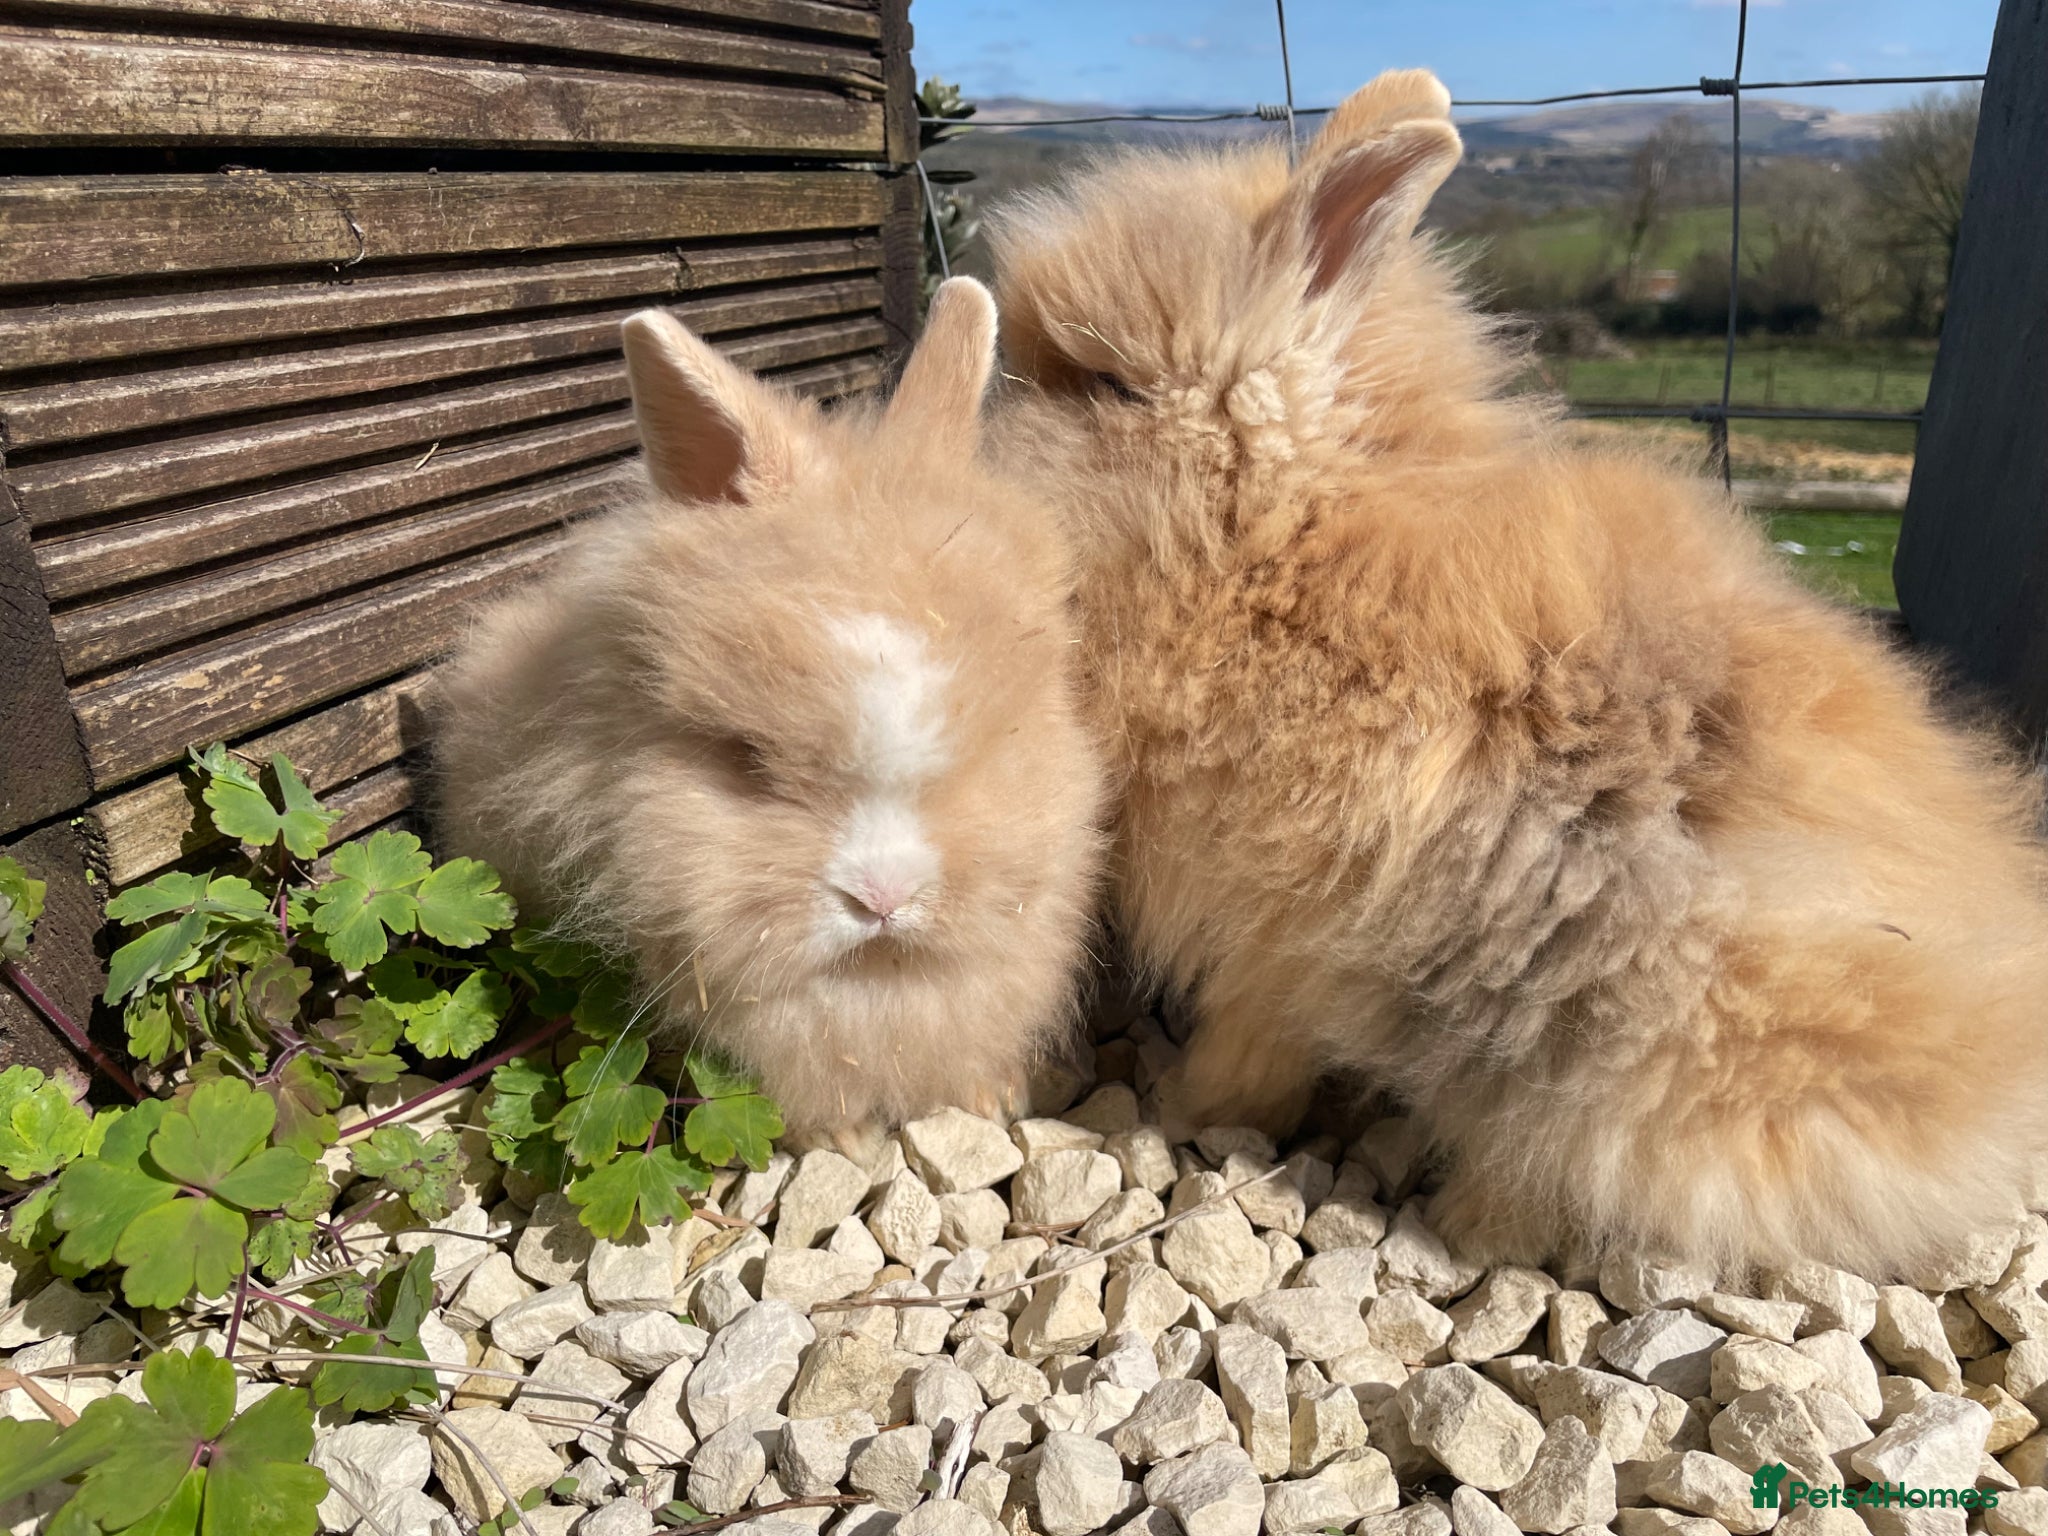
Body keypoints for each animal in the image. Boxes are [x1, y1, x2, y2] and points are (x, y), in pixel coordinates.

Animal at [432, 277, 1107, 1148]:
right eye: (747, 758)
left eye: (995, 741)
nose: (882, 899)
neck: (875, 985)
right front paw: (844, 1140)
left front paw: (994, 1100)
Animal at [982, 68, 2048, 1275]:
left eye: (1108, 387)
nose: (987, 451)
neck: (1278, 545)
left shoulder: (1281, 932)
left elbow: (1253, 1048)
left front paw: (1186, 1103)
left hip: (1637, 1060)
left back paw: (1471, 1222)